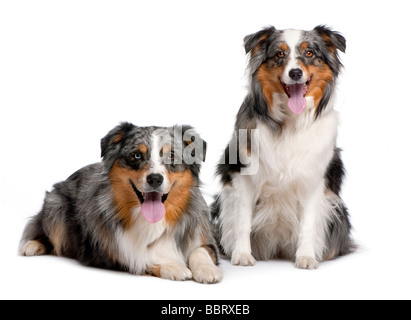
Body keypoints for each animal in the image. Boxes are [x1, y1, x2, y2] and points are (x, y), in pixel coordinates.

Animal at [20, 122, 224, 282]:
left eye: (172, 156)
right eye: (137, 155)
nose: (155, 179)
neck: (151, 222)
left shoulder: (203, 236)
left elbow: (200, 251)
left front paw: (207, 270)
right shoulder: (106, 252)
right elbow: (140, 257)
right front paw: (174, 266)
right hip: (56, 206)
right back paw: (32, 245)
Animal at [214, 26, 356, 268]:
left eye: (309, 53)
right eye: (279, 54)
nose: (295, 73)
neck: (290, 122)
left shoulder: (314, 181)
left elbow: (308, 223)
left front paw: (306, 257)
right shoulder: (243, 176)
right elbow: (242, 220)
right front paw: (242, 254)